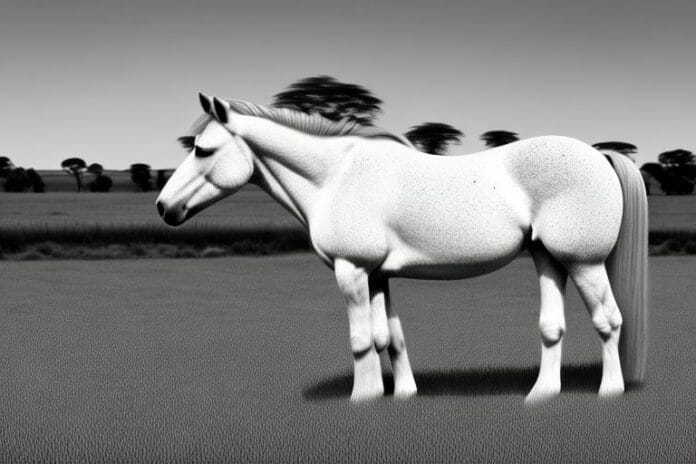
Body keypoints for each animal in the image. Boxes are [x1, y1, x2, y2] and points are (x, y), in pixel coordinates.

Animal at [156, 93, 648, 404]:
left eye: (203, 150)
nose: (164, 207)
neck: (334, 177)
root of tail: (598, 155)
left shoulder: (351, 271)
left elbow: (360, 340)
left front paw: (361, 399)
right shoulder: (376, 276)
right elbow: (388, 337)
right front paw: (399, 394)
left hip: (585, 263)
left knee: (609, 321)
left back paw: (608, 392)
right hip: (548, 259)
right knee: (552, 327)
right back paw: (540, 396)